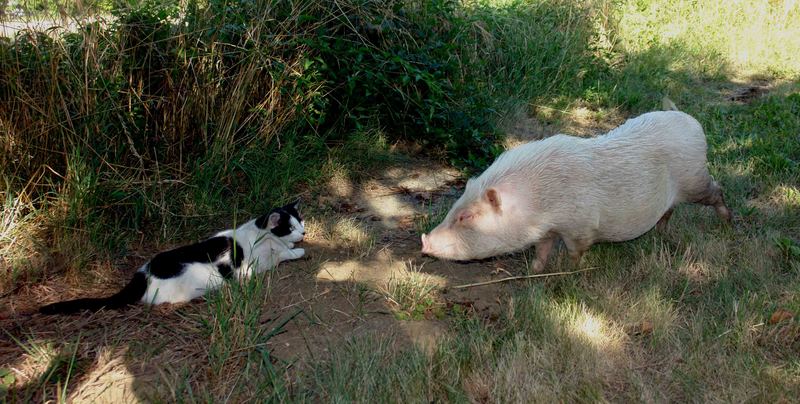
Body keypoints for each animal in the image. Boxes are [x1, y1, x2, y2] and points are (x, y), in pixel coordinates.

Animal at [40, 200, 310, 314]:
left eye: (302, 222)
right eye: (291, 227)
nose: (304, 233)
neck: (262, 234)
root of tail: (143, 273)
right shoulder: (251, 267)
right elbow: (282, 255)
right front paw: (296, 250)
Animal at [424, 109, 732, 272]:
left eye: (467, 217)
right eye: (453, 209)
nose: (424, 241)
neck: (535, 202)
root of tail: (691, 120)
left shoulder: (581, 226)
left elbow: (576, 250)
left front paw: (568, 271)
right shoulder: (545, 229)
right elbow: (541, 249)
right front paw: (534, 271)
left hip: (695, 179)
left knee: (717, 190)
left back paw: (727, 221)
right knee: (668, 211)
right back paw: (662, 232)